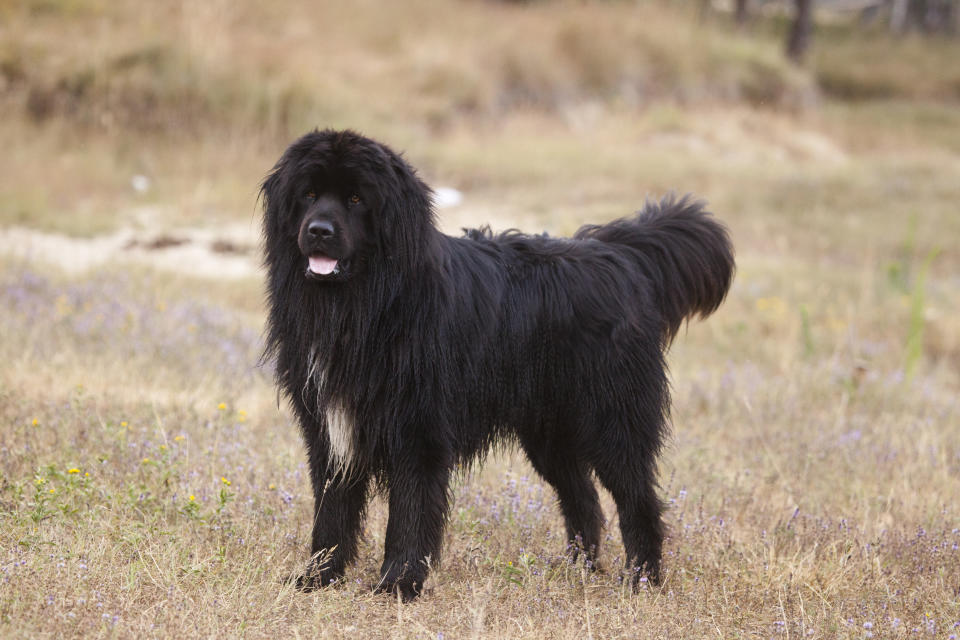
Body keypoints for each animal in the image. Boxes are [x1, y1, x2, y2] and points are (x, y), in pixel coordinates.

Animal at [258, 130, 732, 600]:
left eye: (356, 198)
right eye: (309, 194)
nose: (318, 231)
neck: (368, 304)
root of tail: (617, 254)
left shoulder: (417, 432)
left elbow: (409, 514)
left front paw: (398, 584)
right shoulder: (329, 430)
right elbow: (332, 513)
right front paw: (318, 577)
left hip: (612, 421)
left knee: (638, 500)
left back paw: (641, 580)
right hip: (550, 432)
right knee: (583, 498)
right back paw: (577, 569)